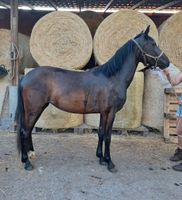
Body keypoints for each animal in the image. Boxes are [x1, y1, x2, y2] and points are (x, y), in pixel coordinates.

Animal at [16, 25, 170, 172]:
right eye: (153, 44)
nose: (167, 62)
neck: (112, 77)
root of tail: (25, 77)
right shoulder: (111, 112)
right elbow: (108, 136)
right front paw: (110, 162)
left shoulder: (103, 112)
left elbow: (101, 133)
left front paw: (101, 158)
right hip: (34, 109)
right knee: (25, 131)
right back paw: (27, 162)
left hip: (37, 108)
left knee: (28, 130)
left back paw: (31, 154)